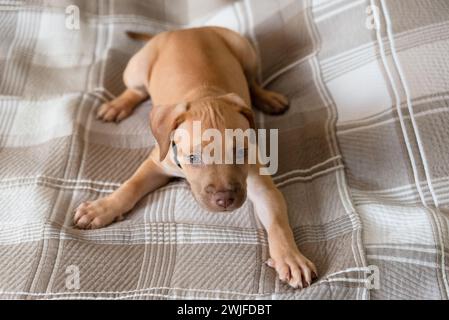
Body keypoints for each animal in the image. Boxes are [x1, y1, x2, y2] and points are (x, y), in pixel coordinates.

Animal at [73, 26, 316, 288]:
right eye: (192, 158)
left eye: (241, 152)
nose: (225, 199)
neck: (205, 96)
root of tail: (183, 30)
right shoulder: (156, 161)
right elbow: (131, 186)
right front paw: (101, 208)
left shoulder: (261, 184)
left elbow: (277, 220)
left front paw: (291, 258)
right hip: (137, 68)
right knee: (136, 89)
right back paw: (117, 105)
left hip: (243, 49)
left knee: (252, 81)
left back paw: (268, 97)